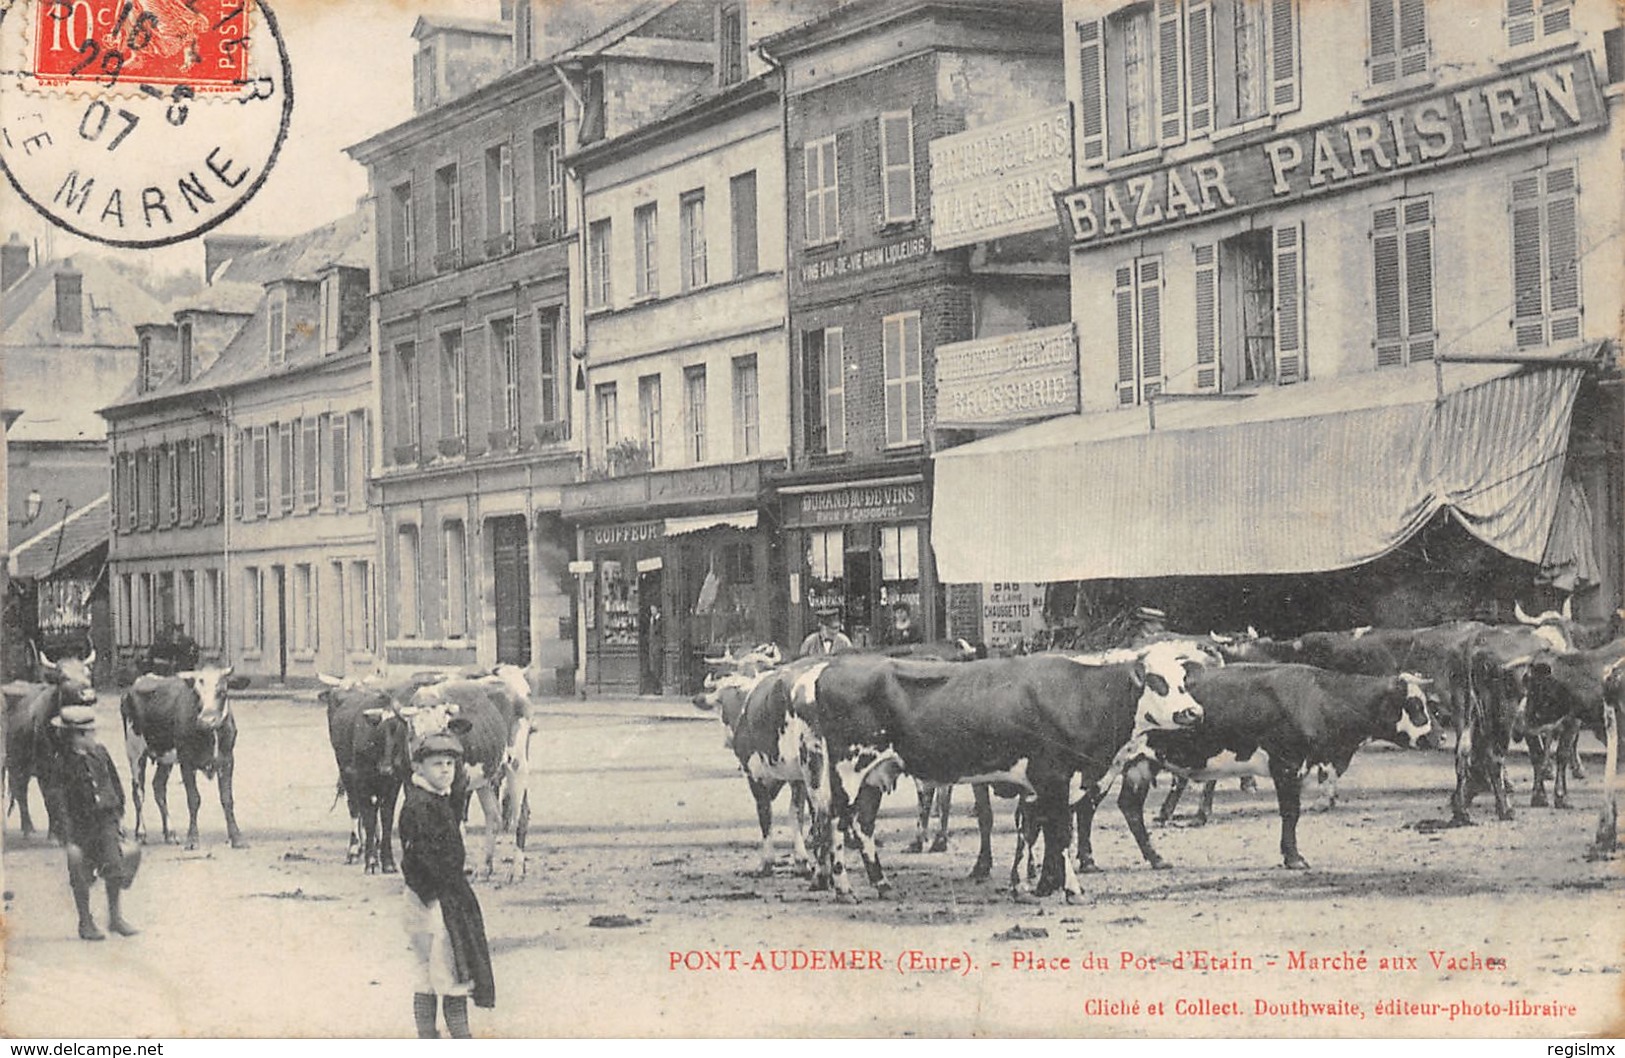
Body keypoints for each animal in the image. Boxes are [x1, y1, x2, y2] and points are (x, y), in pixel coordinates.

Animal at [3, 650, 97, 838]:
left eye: (87, 673)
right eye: (64, 677)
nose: (88, 695)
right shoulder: (45, 769)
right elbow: (51, 800)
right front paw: (55, 835)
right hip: (16, 764)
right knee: (21, 793)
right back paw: (28, 828)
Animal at [121, 669, 250, 851]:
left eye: (222, 692)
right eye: (196, 694)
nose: (207, 720)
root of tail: (138, 682)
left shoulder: (227, 760)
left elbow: (227, 799)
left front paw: (236, 838)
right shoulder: (186, 762)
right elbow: (193, 799)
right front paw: (193, 839)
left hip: (165, 758)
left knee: (158, 787)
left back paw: (170, 833)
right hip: (135, 751)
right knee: (138, 792)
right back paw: (141, 833)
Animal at [316, 682, 406, 871]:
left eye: (400, 732)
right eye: (379, 731)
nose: (386, 769)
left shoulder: (394, 783)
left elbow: (386, 818)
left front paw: (387, 861)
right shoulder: (362, 780)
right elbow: (368, 818)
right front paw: (370, 860)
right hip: (346, 773)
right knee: (354, 808)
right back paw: (354, 850)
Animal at [796, 640, 1209, 903]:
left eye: (1183, 681)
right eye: (1156, 681)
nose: (1194, 713)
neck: (1082, 697)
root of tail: (830, 669)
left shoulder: (1041, 785)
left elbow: (1035, 832)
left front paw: (1031, 886)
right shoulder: (1055, 778)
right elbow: (1061, 834)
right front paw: (1072, 891)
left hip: (875, 774)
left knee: (863, 825)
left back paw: (882, 885)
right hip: (849, 770)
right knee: (836, 822)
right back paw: (844, 889)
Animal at [1092, 666, 1436, 871]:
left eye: (1428, 703)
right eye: (1414, 705)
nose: (1439, 736)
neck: (1316, 698)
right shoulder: (1287, 765)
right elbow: (1291, 813)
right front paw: (1294, 858)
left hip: (1141, 763)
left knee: (1129, 807)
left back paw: (1155, 859)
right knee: (1087, 808)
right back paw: (1088, 862)